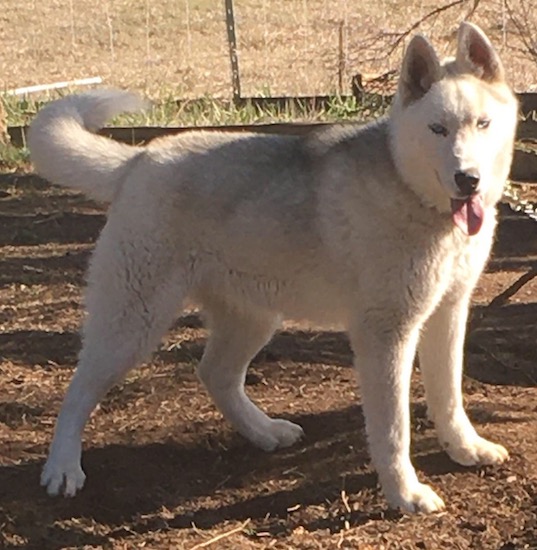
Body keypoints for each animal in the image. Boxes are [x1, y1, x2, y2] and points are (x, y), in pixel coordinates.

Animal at [28, 21, 516, 512]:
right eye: (438, 129)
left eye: (483, 124)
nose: (468, 179)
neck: (415, 195)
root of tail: (139, 158)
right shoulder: (387, 334)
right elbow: (394, 429)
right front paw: (404, 493)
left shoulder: (447, 314)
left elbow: (449, 396)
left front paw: (464, 449)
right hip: (132, 325)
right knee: (77, 391)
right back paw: (62, 468)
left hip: (253, 319)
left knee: (215, 375)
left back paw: (264, 432)